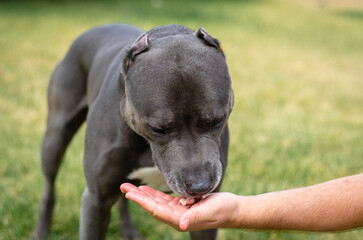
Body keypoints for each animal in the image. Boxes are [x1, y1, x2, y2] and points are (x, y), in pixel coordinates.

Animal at [33, 23, 233, 240]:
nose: (200, 186)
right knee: (49, 187)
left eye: (217, 121)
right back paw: (41, 230)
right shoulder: (96, 200)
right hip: (55, 137)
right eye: (158, 129)